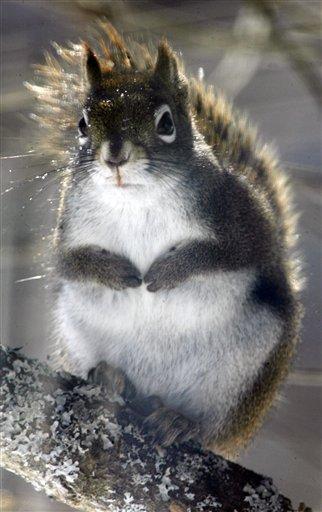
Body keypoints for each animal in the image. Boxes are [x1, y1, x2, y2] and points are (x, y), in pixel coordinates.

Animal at [27, 22, 302, 458]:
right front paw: (115, 272)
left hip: (241, 378)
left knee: (211, 428)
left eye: (166, 123)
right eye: (83, 123)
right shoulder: (68, 228)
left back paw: (182, 421)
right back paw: (111, 377)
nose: (115, 156)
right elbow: (70, 263)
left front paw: (168, 272)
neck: (136, 200)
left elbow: (226, 254)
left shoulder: (243, 222)